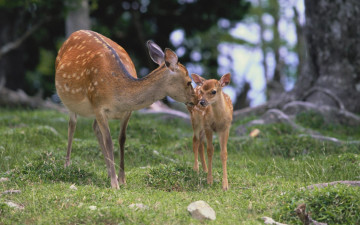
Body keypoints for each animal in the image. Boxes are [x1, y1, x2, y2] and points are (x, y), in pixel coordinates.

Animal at [55, 29, 197, 188]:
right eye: (189, 82)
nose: (196, 100)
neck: (118, 94)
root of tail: (75, 33)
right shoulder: (98, 106)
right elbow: (109, 141)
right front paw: (114, 184)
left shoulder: (127, 112)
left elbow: (122, 139)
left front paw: (122, 179)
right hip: (69, 101)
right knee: (72, 125)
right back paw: (67, 166)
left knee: (94, 127)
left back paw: (109, 172)